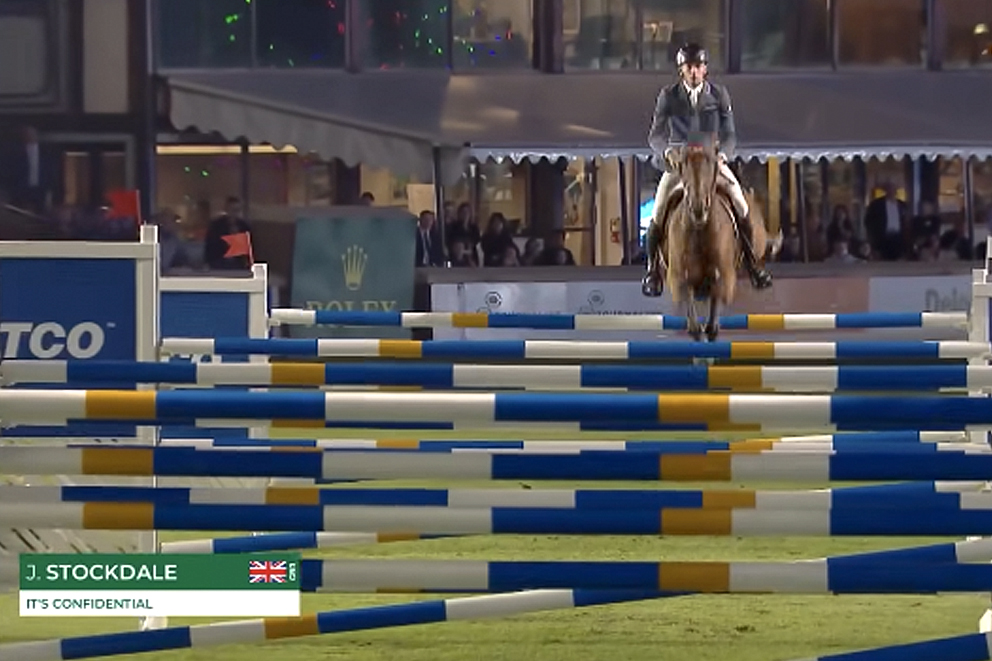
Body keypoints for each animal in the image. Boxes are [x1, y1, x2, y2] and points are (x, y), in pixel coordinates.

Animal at [655, 139, 779, 342]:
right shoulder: (679, 278)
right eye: (682, 166)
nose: (699, 209)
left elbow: (713, 320)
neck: (699, 232)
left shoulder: (724, 278)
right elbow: (694, 323)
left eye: (712, 165)